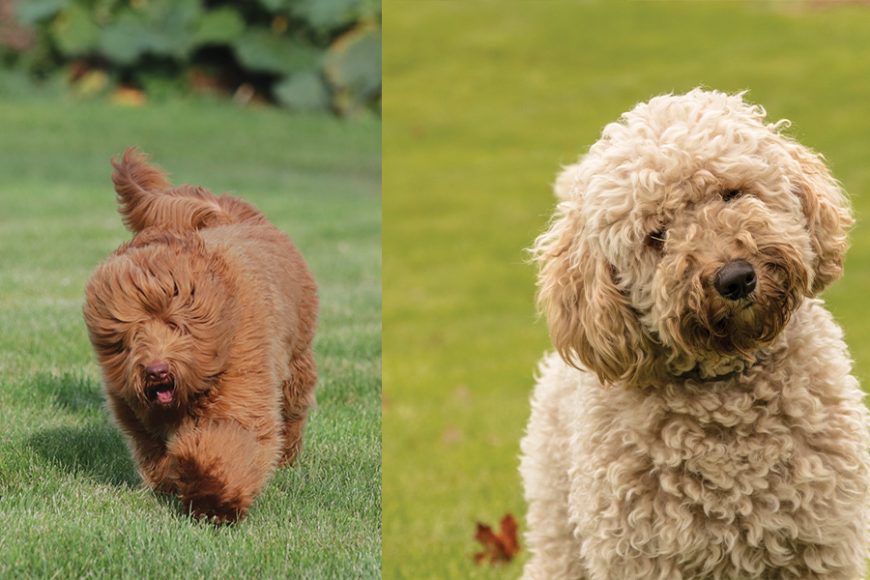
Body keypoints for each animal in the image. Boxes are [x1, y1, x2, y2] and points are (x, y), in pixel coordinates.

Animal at [82, 148, 316, 520]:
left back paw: (287, 456)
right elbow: (157, 452)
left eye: (175, 324)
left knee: (292, 407)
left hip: (296, 357)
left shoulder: (241, 383)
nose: (156, 370)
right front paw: (172, 481)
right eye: (133, 335)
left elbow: (228, 439)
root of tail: (225, 216)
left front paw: (214, 500)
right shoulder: (136, 414)